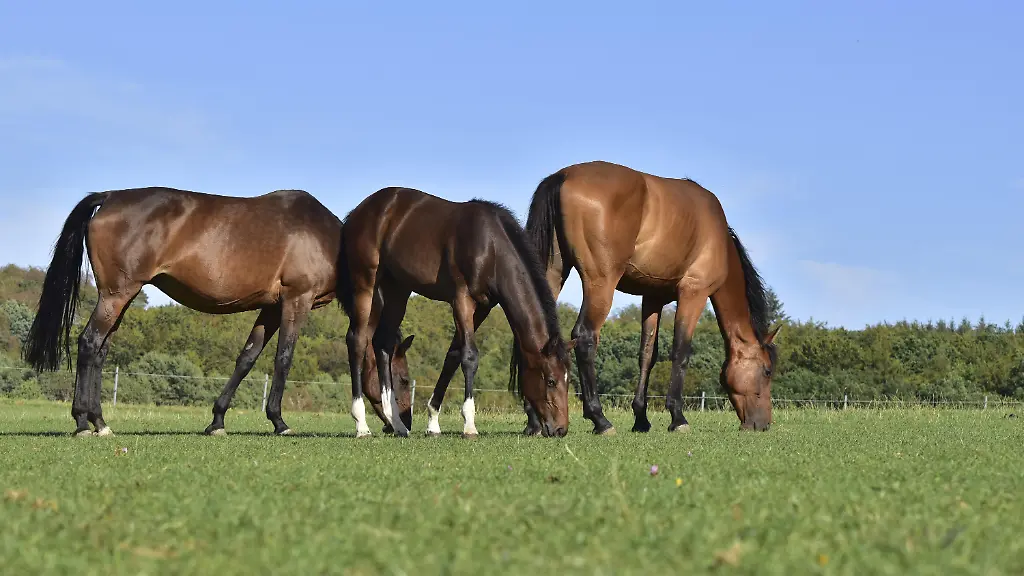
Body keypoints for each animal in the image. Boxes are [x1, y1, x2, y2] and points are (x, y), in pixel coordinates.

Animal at [23, 187, 414, 437]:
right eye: (405, 380)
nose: (403, 424)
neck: (332, 243)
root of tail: (109, 197)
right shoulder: (296, 301)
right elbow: (283, 358)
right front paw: (280, 422)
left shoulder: (270, 309)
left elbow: (247, 358)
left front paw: (217, 420)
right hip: (116, 295)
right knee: (89, 343)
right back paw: (85, 423)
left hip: (121, 297)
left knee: (101, 350)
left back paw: (98, 420)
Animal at [337, 187, 574, 439]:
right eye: (551, 381)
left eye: (568, 379)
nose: (560, 429)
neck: (490, 246)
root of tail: (359, 211)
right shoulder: (462, 299)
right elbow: (469, 356)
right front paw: (469, 424)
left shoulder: (483, 307)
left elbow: (452, 356)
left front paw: (433, 422)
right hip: (366, 283)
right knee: (357, 340)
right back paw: (361, 425)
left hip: (397, 289)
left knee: (383, 343)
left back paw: (398, 424)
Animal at [521, 161, 780, 435]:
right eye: (767, 371)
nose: (763, 424)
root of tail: (562, 176)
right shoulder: (694, 293)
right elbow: (681, 351)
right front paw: (677, 417)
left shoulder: (652, 298)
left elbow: (647, 355)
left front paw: (641, 418)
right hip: (600, 283)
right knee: (585, 337)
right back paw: (600, 419)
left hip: (551, 273)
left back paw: (534, 421)